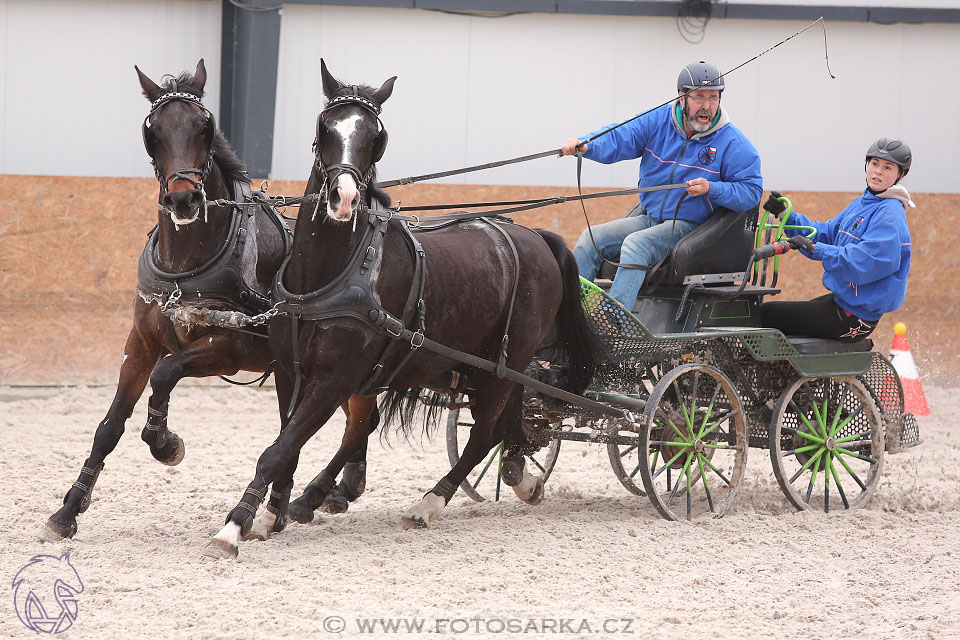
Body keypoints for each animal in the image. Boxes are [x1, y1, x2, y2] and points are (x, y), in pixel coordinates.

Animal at [44, 58, 376, 540]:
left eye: (205, 127)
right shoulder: (139, 344)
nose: (183, 199)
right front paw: (68, 509)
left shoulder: (228, 348)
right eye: (153, 130)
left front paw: (165, 443)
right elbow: (109, 427)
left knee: (358, 421)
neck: (188, 264)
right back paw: (340, 488)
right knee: (360, 421)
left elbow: (166, 374)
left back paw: (318, 493)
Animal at [206, 62, 596, 556]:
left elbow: (279, 448)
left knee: (482, 435)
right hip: (495, 365)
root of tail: (534, 236)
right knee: (507, 425)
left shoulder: (335, 378)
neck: (331, 272)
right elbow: (286, 445)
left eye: (376, 136)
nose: (344, 198)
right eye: (325, 127)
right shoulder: (288, 371)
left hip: (501, 364)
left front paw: (233, 526)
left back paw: (429, 503)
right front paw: (272, 514)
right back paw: (523, 480)